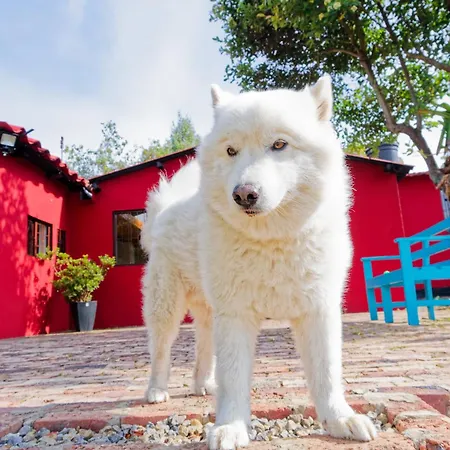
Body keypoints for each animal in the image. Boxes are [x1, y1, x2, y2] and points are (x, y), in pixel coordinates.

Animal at [141, 76, 377, 449]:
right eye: (231, 151)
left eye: (279, 144)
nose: (244, 194)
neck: (272, 242)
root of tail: (165, 210)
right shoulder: (236, 315)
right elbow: (235, 377)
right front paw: (231, 426)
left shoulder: (319, 311)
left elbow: (326, 374)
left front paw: (340, 419)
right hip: (166, 307)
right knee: (161, 350)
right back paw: (156, 390)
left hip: (210, 311)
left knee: (204, 346)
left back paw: (203, 385)